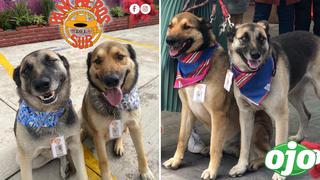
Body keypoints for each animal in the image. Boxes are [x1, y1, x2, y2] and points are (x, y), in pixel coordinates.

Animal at [13, 49, 87, 180]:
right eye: (25, 70)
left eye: (51, 61)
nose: (41, 84)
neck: (49, 116)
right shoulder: (25, 159)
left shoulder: (76, 146)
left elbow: (83, 174)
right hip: (28, 160)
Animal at [80, 41, 154, 180]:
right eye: (97, 61)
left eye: (120, 56)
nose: (111, 80)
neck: (117, 106)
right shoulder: (98, 134)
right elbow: (103, 161)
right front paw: (106, 177)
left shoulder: (135, 126)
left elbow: (141, 152)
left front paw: (145, 171)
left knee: (121, 134)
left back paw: (118, 145)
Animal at [162, 11, 272, 179]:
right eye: (170, 25)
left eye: (187, 27)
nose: (169, 41)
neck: (196, 60)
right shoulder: (187, 109)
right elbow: (182, 138)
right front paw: (176, 160)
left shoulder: (218, 114)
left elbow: (215, 146)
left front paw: (211, 171)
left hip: (255, 126)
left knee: (265, 154)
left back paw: (253, 163)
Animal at [228, 21, 320, 179]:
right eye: (244, 38)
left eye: (261, 39)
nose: (255, 55)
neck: (254, 77)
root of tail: (315, 37)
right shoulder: (246, 115)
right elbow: (245, 144)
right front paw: (241, 166)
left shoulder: (281, 116)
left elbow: (279, 143)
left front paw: (280, 173)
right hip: (292, 95)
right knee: (306, 114)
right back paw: (299, 137)